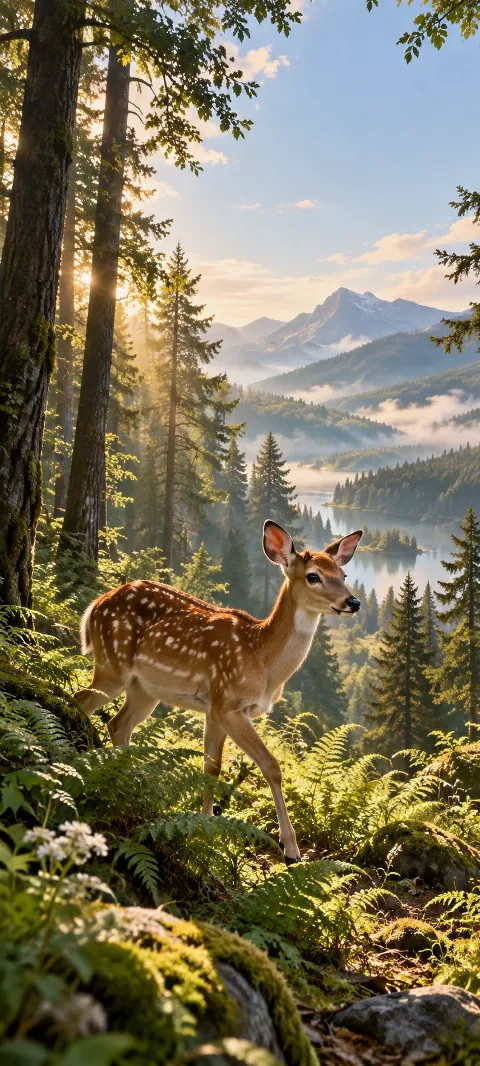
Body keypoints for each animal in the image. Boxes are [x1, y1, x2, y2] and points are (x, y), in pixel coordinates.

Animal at [75, 521, 363, 863]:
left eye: (343, 575)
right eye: (313, 576)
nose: (353, 602)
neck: (263, 663)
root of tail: (94, 606)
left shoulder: (214, 708)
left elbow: (211, 768)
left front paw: (204, 825)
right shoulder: (228, 703)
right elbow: (271, 766)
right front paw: (291, 850)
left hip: (144, 689)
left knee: (118, 724)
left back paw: (128, 782)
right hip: (112, 664)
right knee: (81, 701)